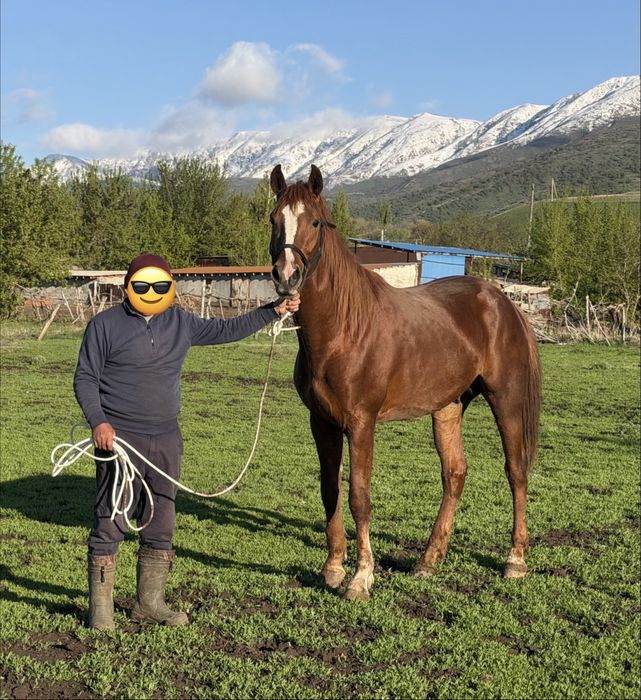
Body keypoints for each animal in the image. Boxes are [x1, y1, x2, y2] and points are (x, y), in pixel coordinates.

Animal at [268, 164, 541, 601]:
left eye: (314, 222)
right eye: (274, 219)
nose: (286, 275)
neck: (344, 328)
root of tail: (502, 301)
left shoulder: (361, 423)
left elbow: (359, 495)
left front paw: (361, 578)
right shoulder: (322, 422)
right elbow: (330, 490)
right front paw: (332, 568)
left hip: (507, 399)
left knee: (516, 471)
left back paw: (515, 561)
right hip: (448, 407)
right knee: (455, 473)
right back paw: (428, 561)